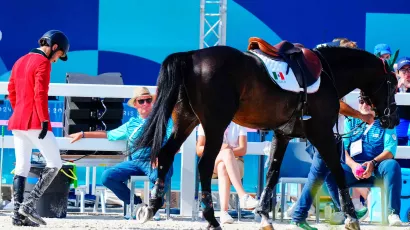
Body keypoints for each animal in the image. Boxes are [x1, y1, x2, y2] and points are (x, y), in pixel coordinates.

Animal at [131, 40, 398, 230]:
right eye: (394, 85)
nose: (393, 118)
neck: (327, 74)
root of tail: (191, 56)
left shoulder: (283, 135)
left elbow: (272, 173)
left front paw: (264, 216)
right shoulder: (321, 133)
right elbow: (335, 169)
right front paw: (351, 217)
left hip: (186, 120)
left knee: (166, 154)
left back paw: (152, 206)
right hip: (215, 126)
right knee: (205, 164)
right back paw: (211, 218)